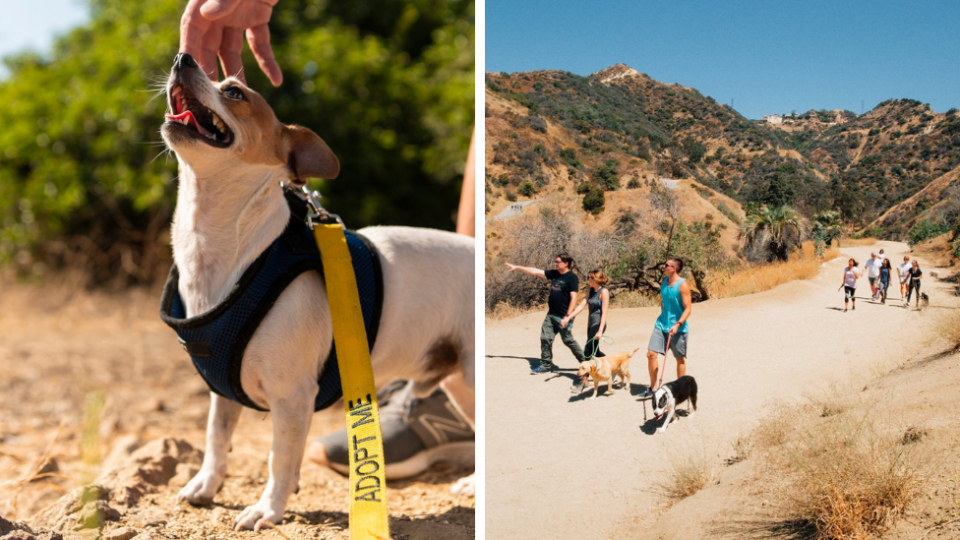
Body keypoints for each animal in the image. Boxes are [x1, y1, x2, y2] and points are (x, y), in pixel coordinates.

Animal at [162, 54, 476, 532]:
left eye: (235, 92)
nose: (183, 57)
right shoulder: (223, 392)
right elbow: (217, 437)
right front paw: (206, 484)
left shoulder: (293, 396)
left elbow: (279, 457)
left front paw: (268, 509)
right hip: (457, 380)